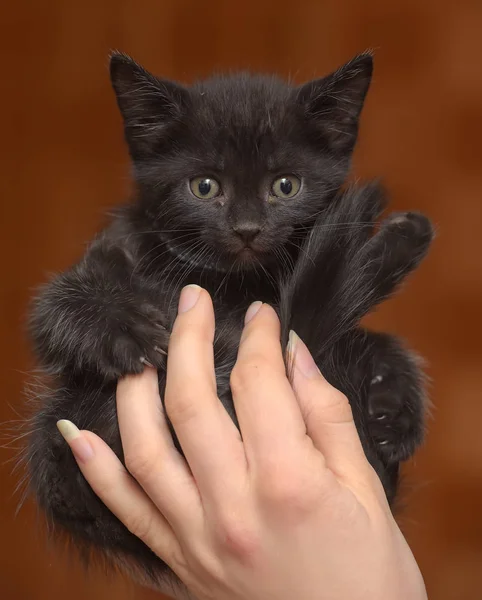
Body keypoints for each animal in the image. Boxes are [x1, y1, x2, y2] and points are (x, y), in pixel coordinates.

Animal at [23, 54, 434, 592]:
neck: (236, 289)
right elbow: (57, 306)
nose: (247, 229)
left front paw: (395, 401)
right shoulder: (110, 249)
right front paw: (123, 330)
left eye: (285, 186)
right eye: (204, 187)